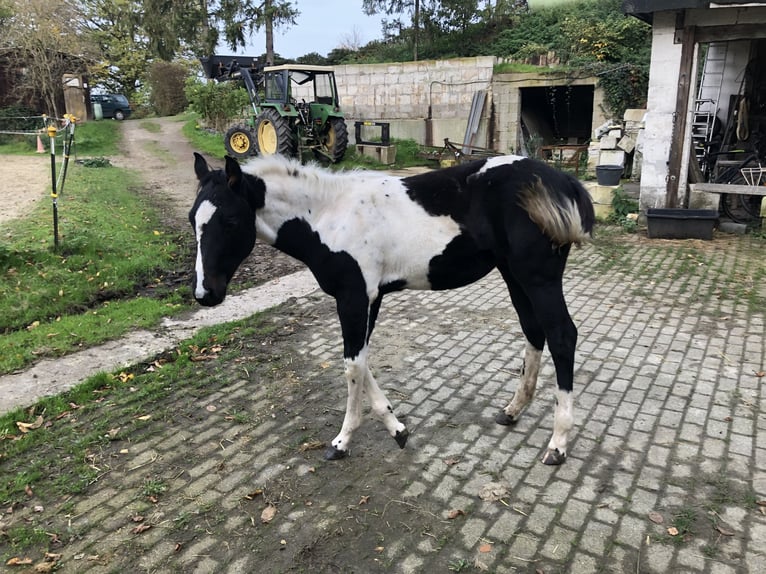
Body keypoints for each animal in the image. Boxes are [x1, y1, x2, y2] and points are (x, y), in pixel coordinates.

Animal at [189, 152, 595, 465]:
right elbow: (362, 359)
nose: (205, 294)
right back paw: (512, 411)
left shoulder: (353, 297)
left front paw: (342, 442)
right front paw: (397, 428)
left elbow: (352, 365)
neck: (327, 216)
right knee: (534, 330)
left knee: (562, 336)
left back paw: (558, 444)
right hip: (513, 274)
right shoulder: (371, 298)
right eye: (193, 219)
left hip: (538, 277)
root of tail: (562, 181)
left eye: (230, 219)